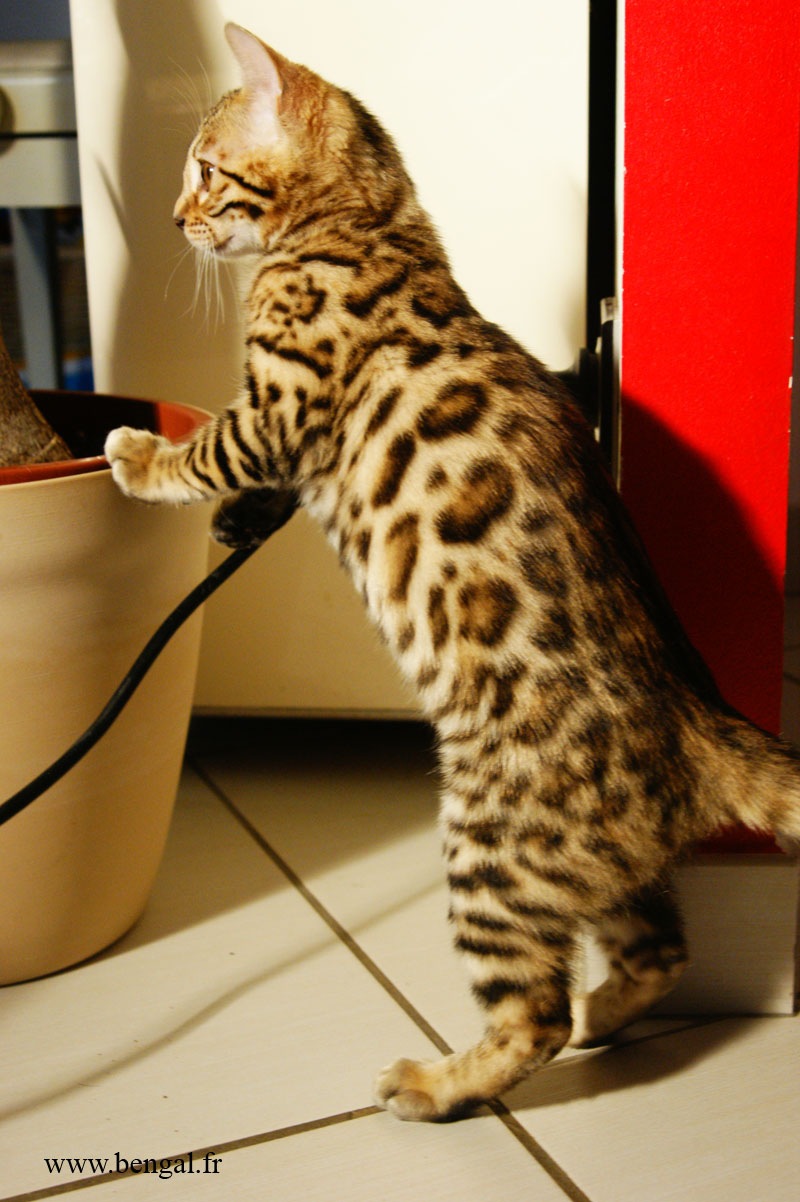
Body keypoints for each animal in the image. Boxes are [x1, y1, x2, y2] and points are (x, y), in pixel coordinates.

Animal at [105, 23, 800, 1122]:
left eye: (206, 171)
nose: (174, 218)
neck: (371, 222)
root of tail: (694, 719)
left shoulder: (281, 402)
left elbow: (209, 447)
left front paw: (137, 456)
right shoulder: (293, 441)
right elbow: (255, 484)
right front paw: (231, 522)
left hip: (491, 844)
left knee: (530, 1016)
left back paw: (435, 1083)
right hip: (596, 862)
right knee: (657, 947)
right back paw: (605, 1014)